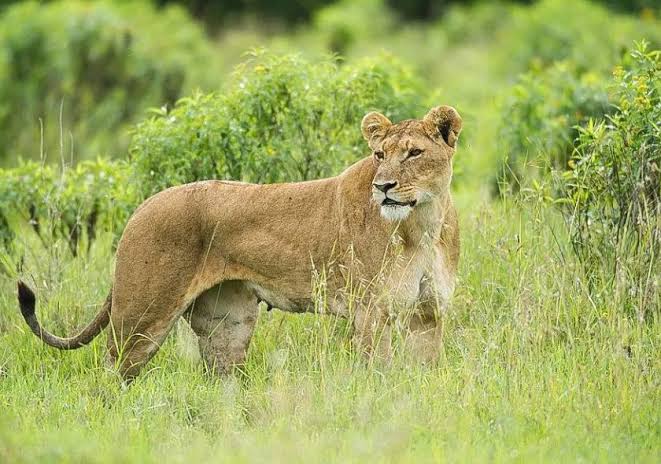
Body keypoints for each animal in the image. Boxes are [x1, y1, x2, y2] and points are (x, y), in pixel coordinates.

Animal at [17, 105, 462, 380]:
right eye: (379, 155)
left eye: (414, 153)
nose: (383, 187)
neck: (422, 223)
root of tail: (140, 207)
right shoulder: (371, 311)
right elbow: (377, 375)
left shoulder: (428, 313)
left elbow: (425, 371)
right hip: (141, 316)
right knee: (109, 375)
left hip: (227, 324)